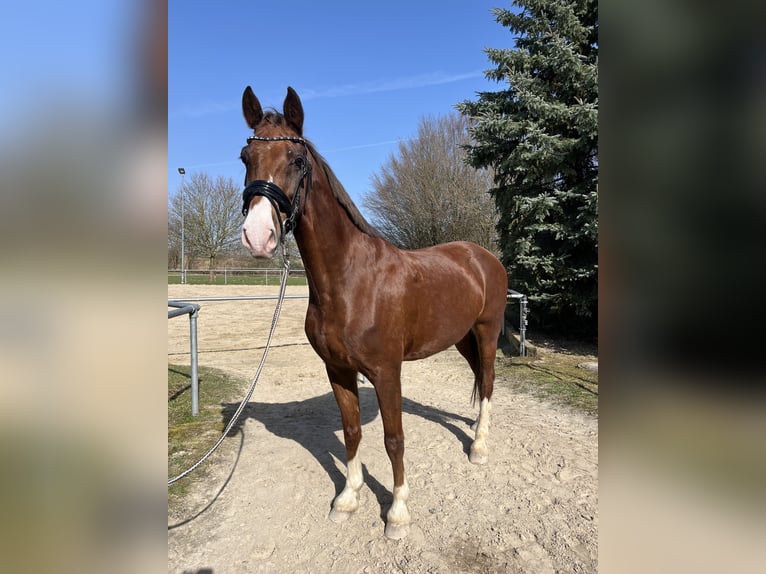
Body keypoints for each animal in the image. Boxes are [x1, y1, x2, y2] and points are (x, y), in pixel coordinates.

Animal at [239, 86, 508, 539]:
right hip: (461, 338)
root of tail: (482, 256)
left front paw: (397, 513)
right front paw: (348, 498)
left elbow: (393, 438)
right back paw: (473, 430)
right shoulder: (337, 369)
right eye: (245, 156)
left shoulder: (386, 372)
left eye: (297, 160)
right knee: (477, 379)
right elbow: (351, 432)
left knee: (487, 382)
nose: (258, 236)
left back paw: (480, 445)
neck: (349, 280)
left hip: (487, 331)